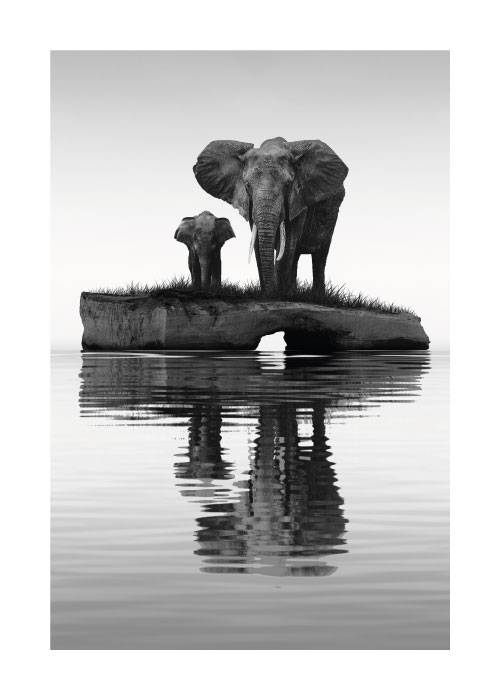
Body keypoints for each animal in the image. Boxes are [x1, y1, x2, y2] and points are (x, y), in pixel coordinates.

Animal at [193, 137, 348, 295]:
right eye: (247, 185)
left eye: (288, 185)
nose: (270, 292)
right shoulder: (251, 206)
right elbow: (257, 245)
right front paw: (268, 294)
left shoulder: (298, 202)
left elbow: (287, 246)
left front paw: (279, 295)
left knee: (319, 256)